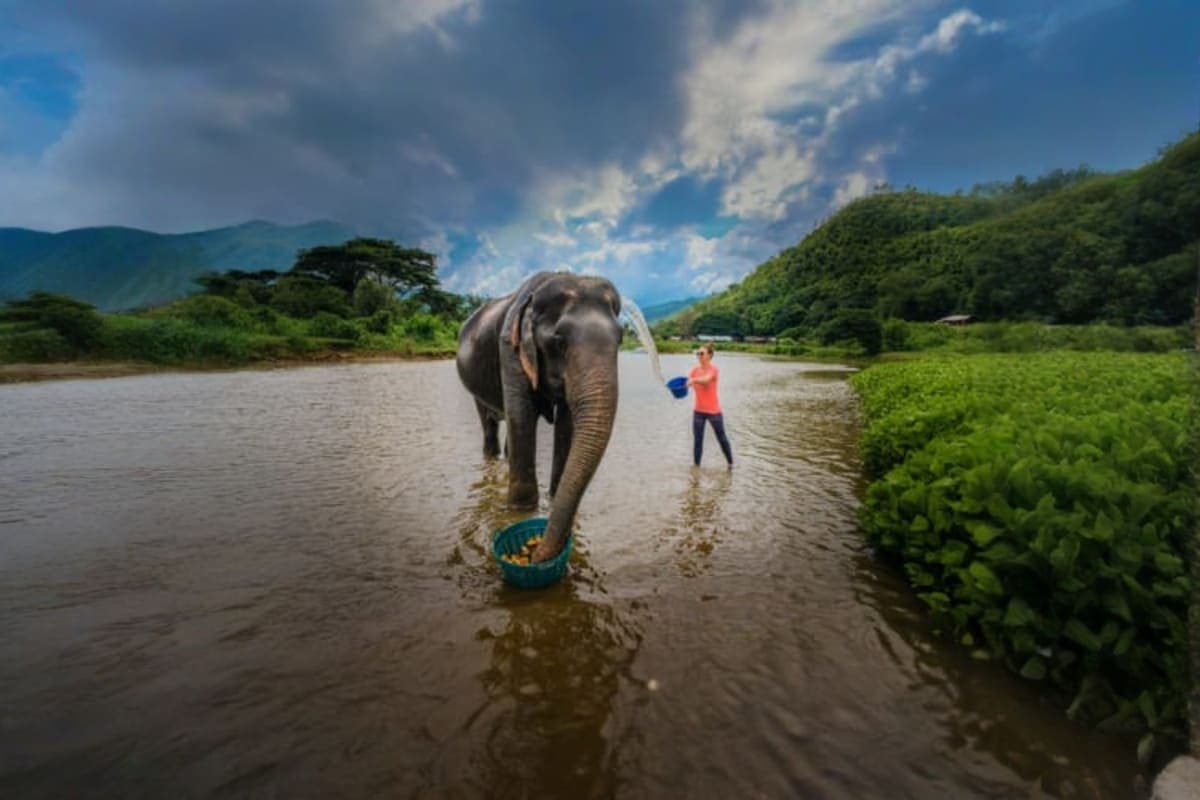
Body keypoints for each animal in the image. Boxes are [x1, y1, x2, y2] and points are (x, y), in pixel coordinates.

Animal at [456, 271, 623, 564]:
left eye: (621, 339)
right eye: (559, 340)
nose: (536, 556)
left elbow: (567, 424)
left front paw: (554, 496)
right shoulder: (509, 349)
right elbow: (522, 416)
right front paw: (520, 511)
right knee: (489, 424)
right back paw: (491, 454)